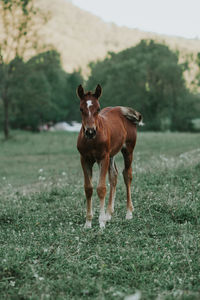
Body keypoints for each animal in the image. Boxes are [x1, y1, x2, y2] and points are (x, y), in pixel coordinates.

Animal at [76, 83, 142, 229]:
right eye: (81, 109)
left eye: (98, 108)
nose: (90, 131)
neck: (92, 141)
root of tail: (120, 109)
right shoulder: (85, 159)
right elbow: (88, 188)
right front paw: (88, 222)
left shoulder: (103, 158)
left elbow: (101, 188)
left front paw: (101, 222)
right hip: (111, 155)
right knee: (114, 176)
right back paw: (109, 213)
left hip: (128, 150)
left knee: (127, 175)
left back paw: (128, 212)